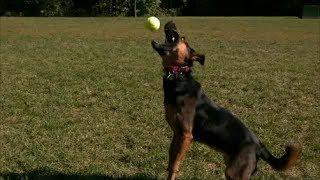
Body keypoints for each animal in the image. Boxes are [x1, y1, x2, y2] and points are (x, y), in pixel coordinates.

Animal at [151, 21, 302, 180]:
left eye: (182, 38)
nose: (171, 23)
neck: (178, 75)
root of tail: (259, 147)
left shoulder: (185, 135)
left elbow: (175, 165)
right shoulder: (176, 134)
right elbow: (171, 161)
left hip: (235, 172)